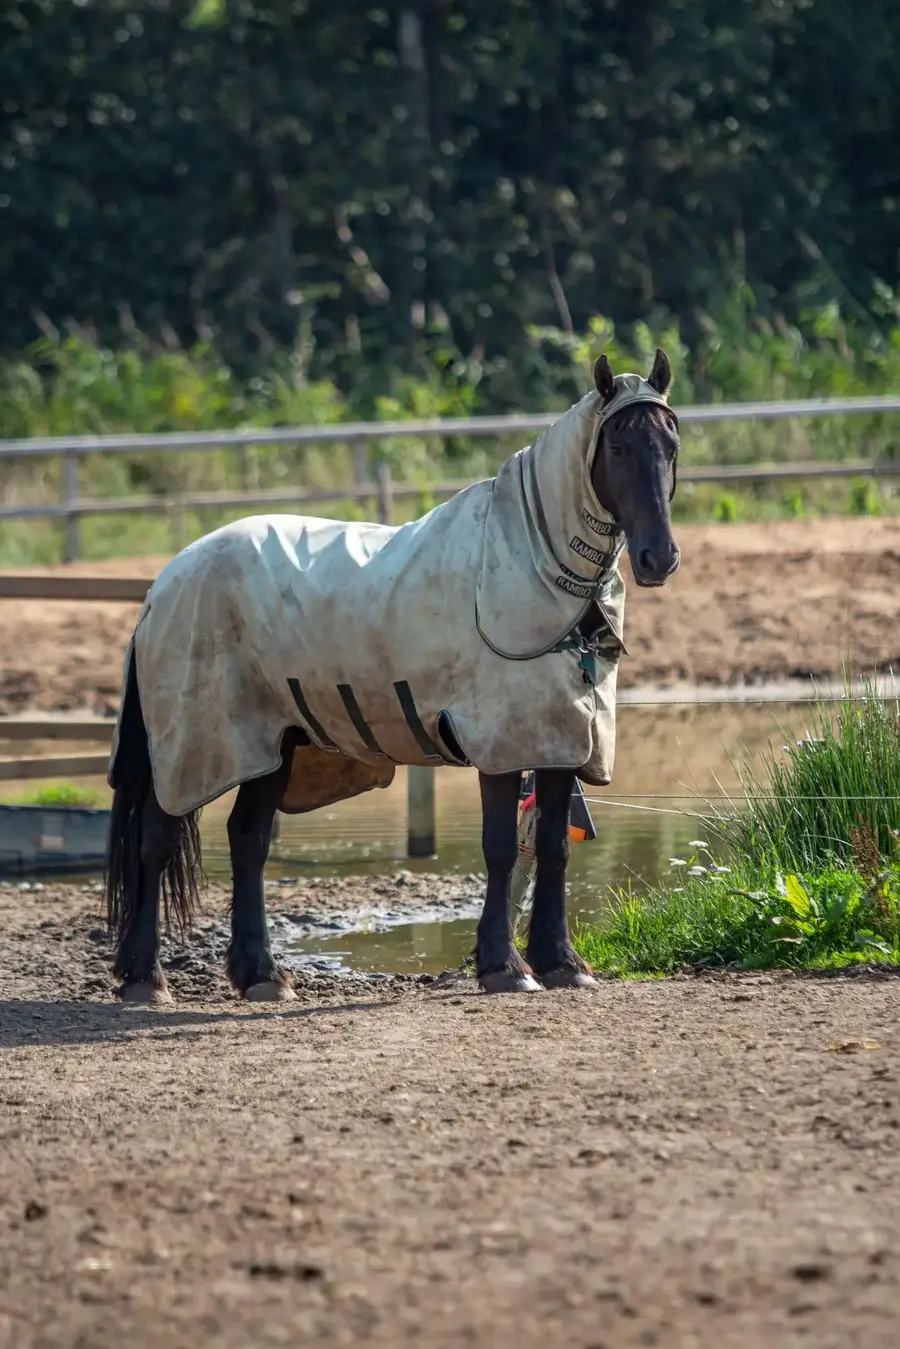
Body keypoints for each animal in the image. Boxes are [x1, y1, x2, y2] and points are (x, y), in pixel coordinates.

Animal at [105, 350, 680, 1003]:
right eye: (618, 447)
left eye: (671, 445)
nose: (659, 557)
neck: (525, 563)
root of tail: (166, 582)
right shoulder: (501, 745)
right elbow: (501, 849)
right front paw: (504, 967)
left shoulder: (558, 742)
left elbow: (554, 849)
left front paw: (560, 962)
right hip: (191, 748)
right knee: (156, 840)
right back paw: (145, 978)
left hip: (273, 745)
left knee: (248, 841)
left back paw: (261, 976)